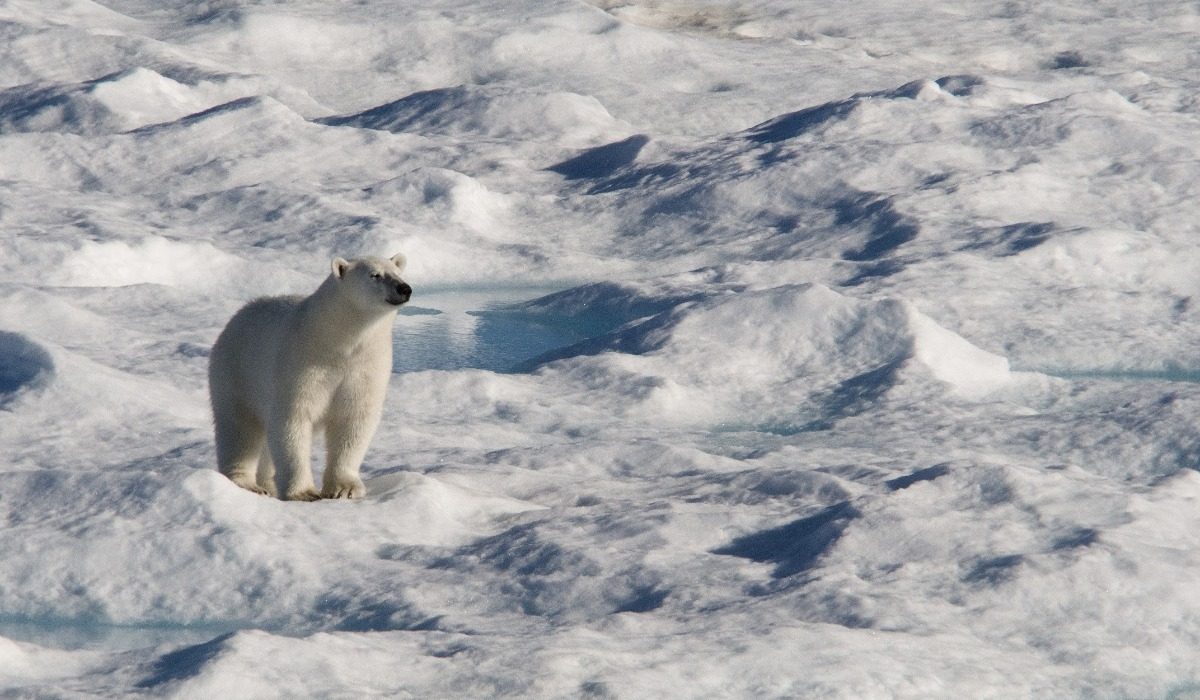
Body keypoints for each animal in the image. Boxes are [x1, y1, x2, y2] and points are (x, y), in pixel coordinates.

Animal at [208, 253, 411, 501]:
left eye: (397, 272)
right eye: (375, 275)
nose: (404, 288)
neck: (338, 341)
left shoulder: (365, 366)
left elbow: (353, 420)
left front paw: (346, 488)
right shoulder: (302, 365)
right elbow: (293, 420)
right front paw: (304, 492)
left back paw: (268, 483)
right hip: (235, 374)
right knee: (240, 429)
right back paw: (247, 484)